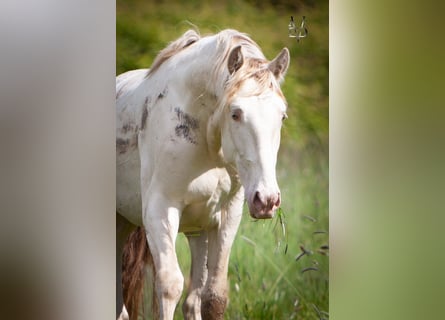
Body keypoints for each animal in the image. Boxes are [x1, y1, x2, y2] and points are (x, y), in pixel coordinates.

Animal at [115, 28, 288, 320]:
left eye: (282, 116)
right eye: (235, 113)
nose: (266, 200)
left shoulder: (227, 216)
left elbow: (213, 296)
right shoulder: (160, 212)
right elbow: (170, 286)